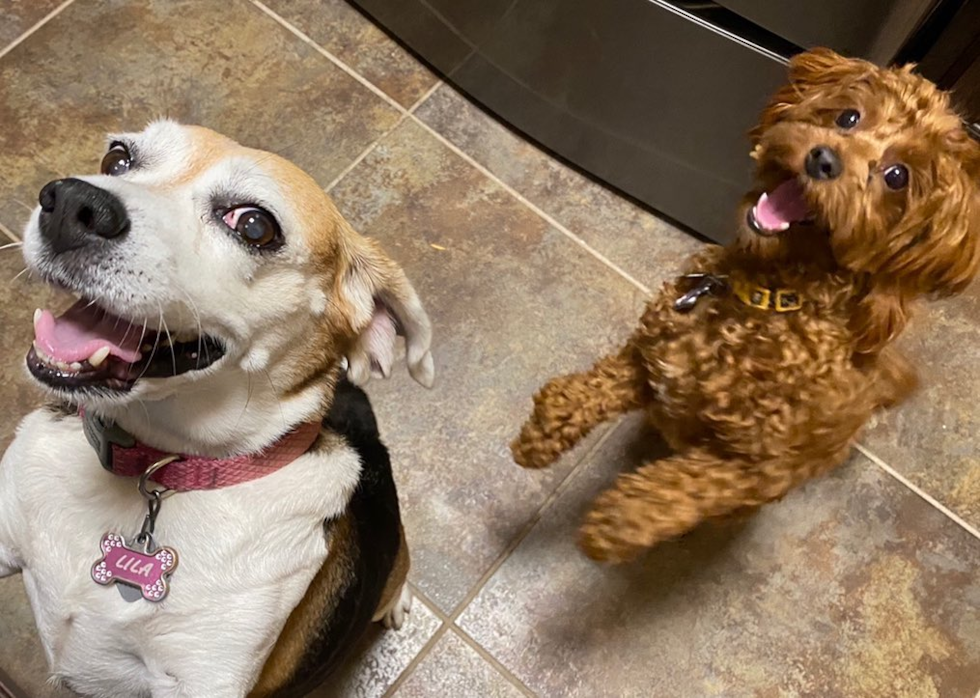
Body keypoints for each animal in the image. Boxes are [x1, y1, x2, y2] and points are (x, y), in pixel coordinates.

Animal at [510, 47, 980, 560]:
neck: (763, 298)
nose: (823, 159)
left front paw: (617, 521)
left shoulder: (756, 469)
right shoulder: (647, 361)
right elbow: (588, 389)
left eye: (897, 177)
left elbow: (680, 489)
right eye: (848, 117)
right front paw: (541, 432)